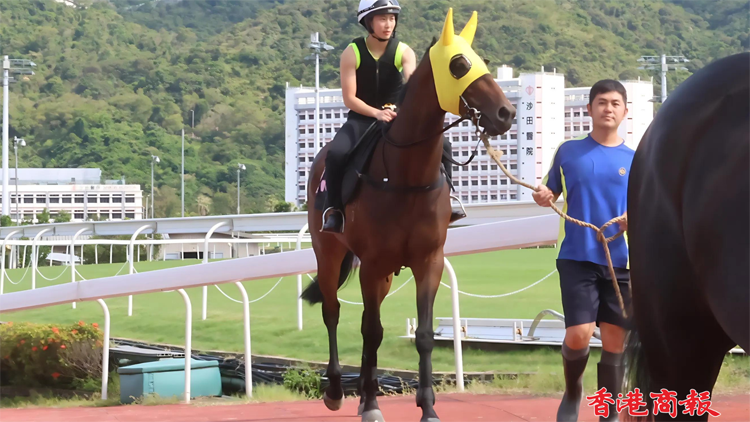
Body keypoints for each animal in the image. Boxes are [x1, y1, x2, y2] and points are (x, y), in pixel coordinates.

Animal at [300, 9, 516, 422]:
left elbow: (423, 335)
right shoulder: (370, 263)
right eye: (459, 64)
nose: (507, 113)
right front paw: (370, 404)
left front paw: (427, 406)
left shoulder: (427, 260)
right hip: (330, 254)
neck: (404, 174)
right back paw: (337, 391)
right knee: (333, 312)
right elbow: (370, 330)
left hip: (385, 273)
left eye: (481, 60)